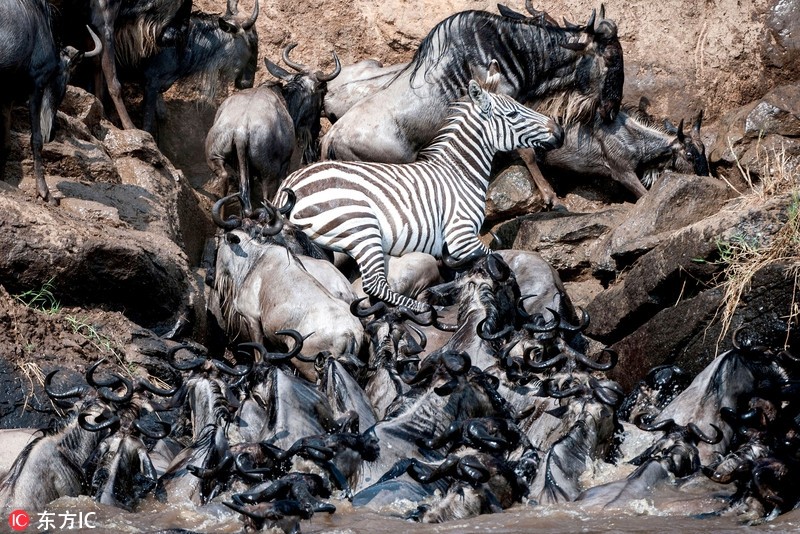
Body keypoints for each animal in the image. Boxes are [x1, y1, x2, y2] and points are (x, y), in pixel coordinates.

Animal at [276, 79, 564, 314]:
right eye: (513, 114)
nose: (560, 132)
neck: (458, 172)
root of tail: (289, 184)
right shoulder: (460, 236)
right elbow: (498, 258)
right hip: (361, 225)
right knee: (375, 284)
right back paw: (420, 308)